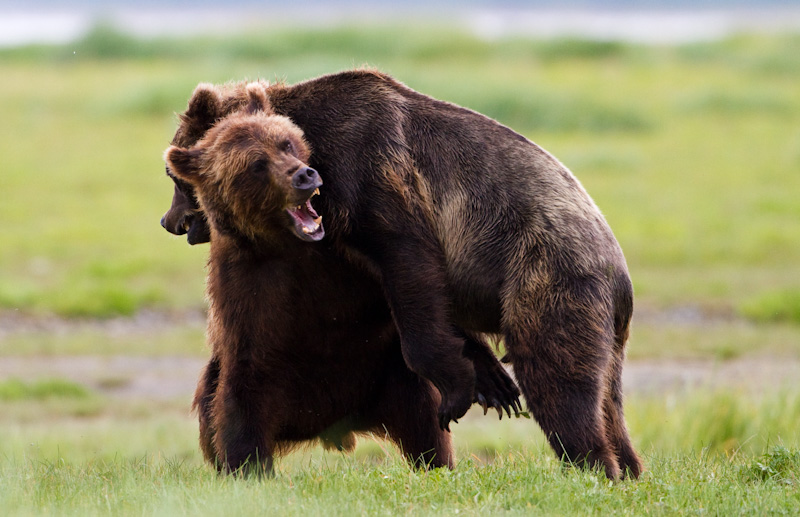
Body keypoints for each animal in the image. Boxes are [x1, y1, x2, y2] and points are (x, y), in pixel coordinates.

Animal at [164, 70, 644, 478]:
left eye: (171, 176)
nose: (173, 223)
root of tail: (620, 273)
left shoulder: (369, 171)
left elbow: (409, 269)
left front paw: (455, 394)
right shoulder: (341, 242)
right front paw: (487, 379)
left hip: (547, 275)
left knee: (557, 379)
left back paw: (592, 464)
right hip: (601, 324)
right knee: (607, 396)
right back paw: (628, 465)